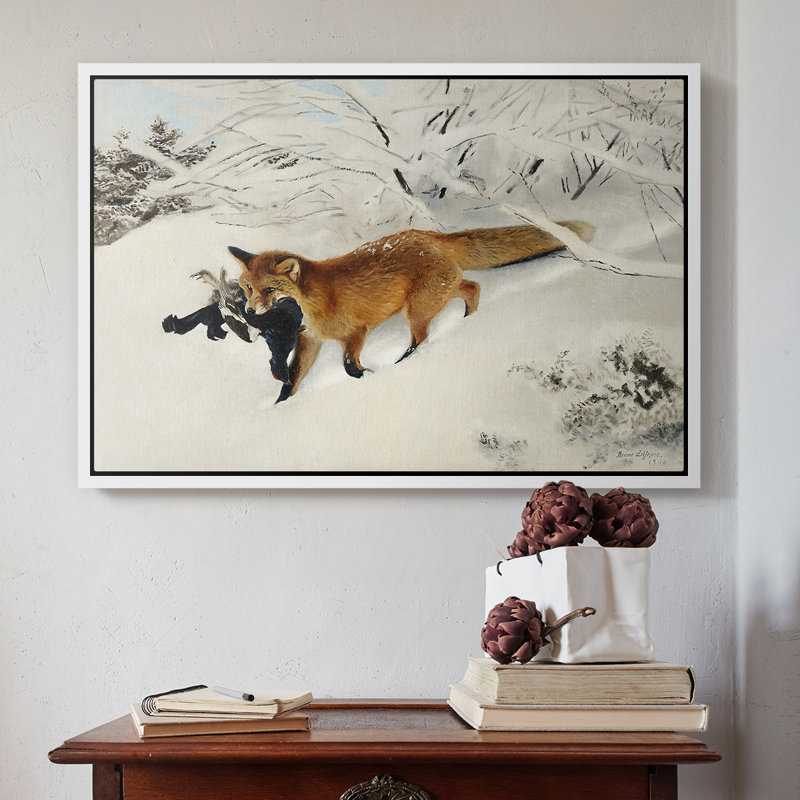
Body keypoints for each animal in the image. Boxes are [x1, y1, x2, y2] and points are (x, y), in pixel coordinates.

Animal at [228, 220, 594, 402]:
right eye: (248, 287)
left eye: (269, 290)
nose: (249, 310)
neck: (314, 302)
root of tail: (427, 234)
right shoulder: (310, 341)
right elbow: (292, 380)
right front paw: (280, 407)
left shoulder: (355, 333)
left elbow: (349, 367)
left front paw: (369, 376)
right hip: (437, 294)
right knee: (472, 287)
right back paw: (468, 321)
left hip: (416, 309)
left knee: (423, 338)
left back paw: (406, 361)